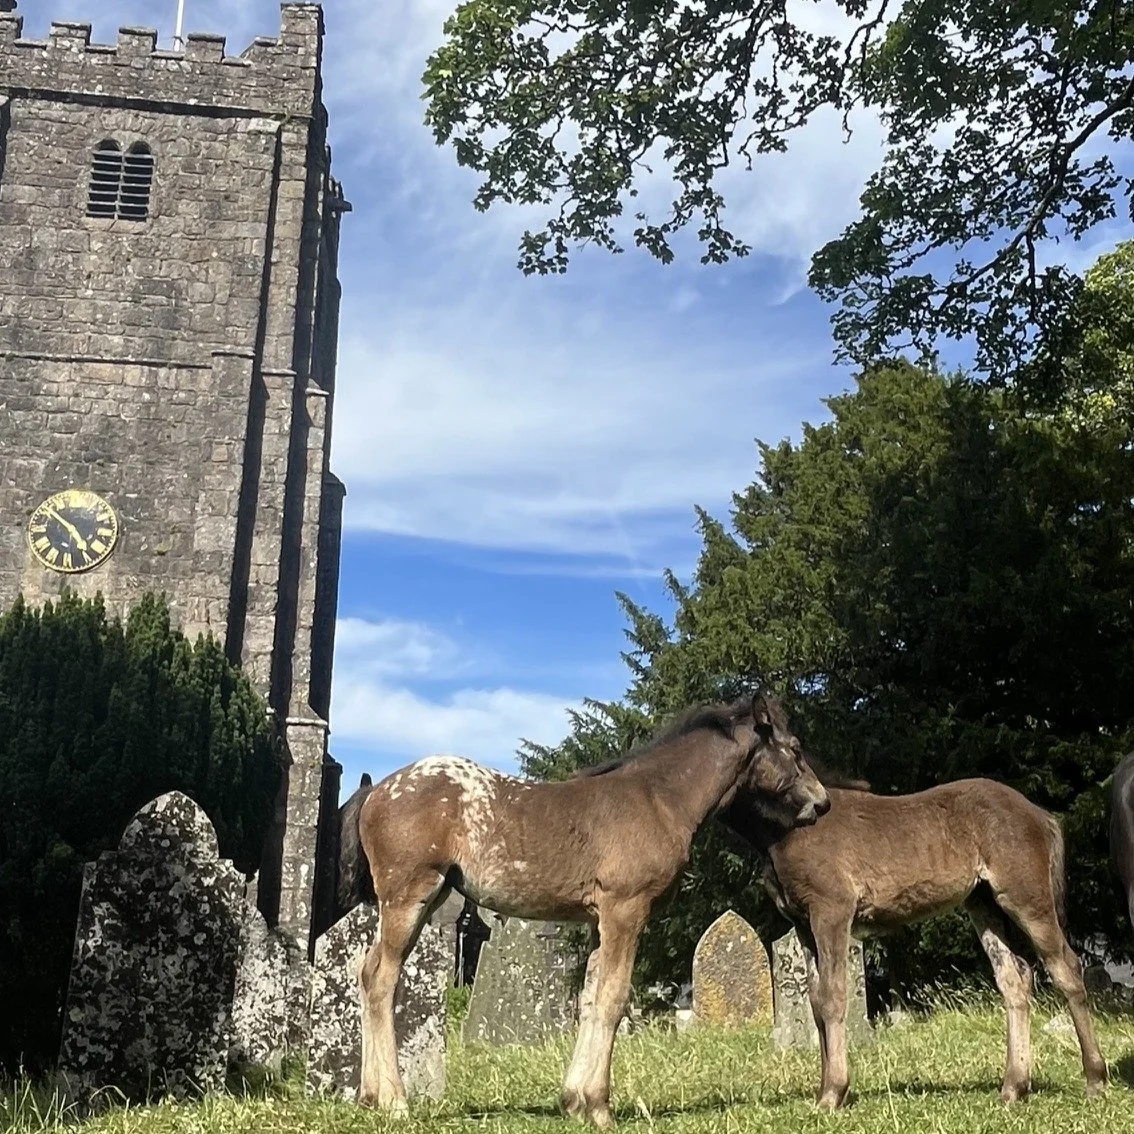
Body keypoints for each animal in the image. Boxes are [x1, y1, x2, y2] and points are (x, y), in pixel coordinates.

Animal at [338, 692, 829, 1127]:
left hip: (427, 899)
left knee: (367, 972)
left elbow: (590, 998)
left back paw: (367, 1097)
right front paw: (599, 1106)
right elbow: (614, 999)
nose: (822, 802)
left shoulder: (598, 921)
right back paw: (394, 1101)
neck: (658, 800)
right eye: (795, 748)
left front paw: (573, 1100)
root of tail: (378, 791)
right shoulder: (626, 910)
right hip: (409, 896)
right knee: (382, 979)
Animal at [721, 764, 1108, 1109]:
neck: (788, 829)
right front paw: (825, 1090)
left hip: (1026, 899)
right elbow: (816, 1002)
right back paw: (1014, 1086)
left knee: (1066, 969)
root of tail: (1040, 815)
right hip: (984, 904)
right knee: (1015, 978)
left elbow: (833, 998)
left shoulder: (832, 912)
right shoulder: (803, 924)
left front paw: (832, 1093)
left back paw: (1095, 1079)